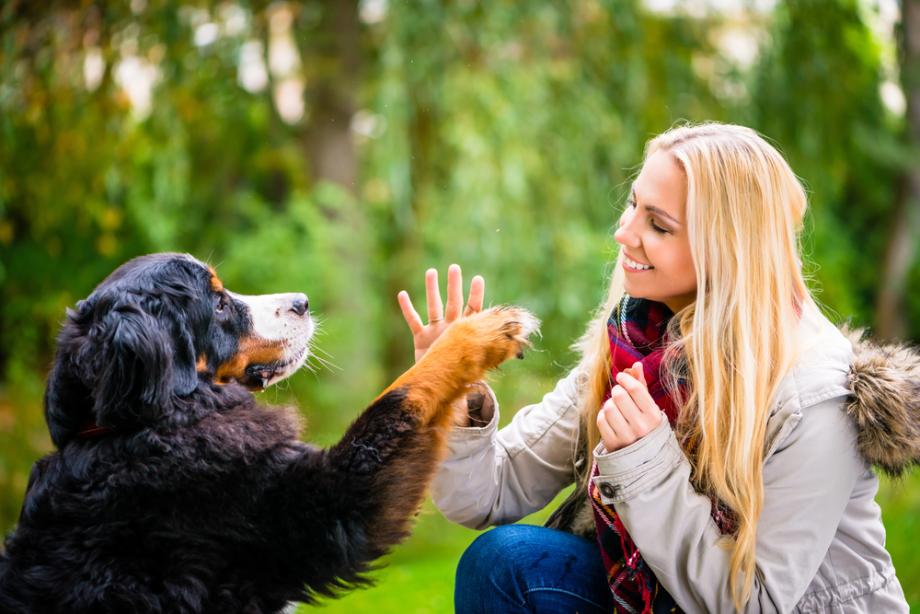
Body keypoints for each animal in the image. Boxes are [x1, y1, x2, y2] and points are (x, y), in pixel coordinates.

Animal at [0, 253, 540, 612]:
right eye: (218, 304)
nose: (302, 301)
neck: (134, 427)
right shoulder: (327, 508)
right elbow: (401, 394)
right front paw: (483, 330)